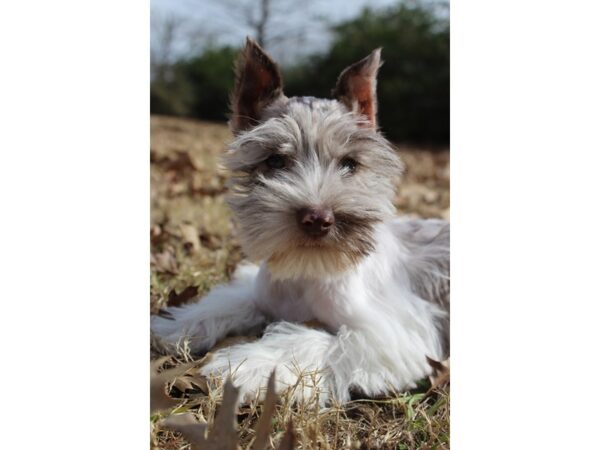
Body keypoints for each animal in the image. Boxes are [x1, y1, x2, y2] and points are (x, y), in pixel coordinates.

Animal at [151, 37, 450, 404]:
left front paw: (244, 365)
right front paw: (174, 325)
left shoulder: (388, 334)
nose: (318, 218)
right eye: (275, 161)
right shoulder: (260, 293)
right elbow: (229, 300)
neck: (307, 271)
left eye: (350, 164)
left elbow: (311, 341)